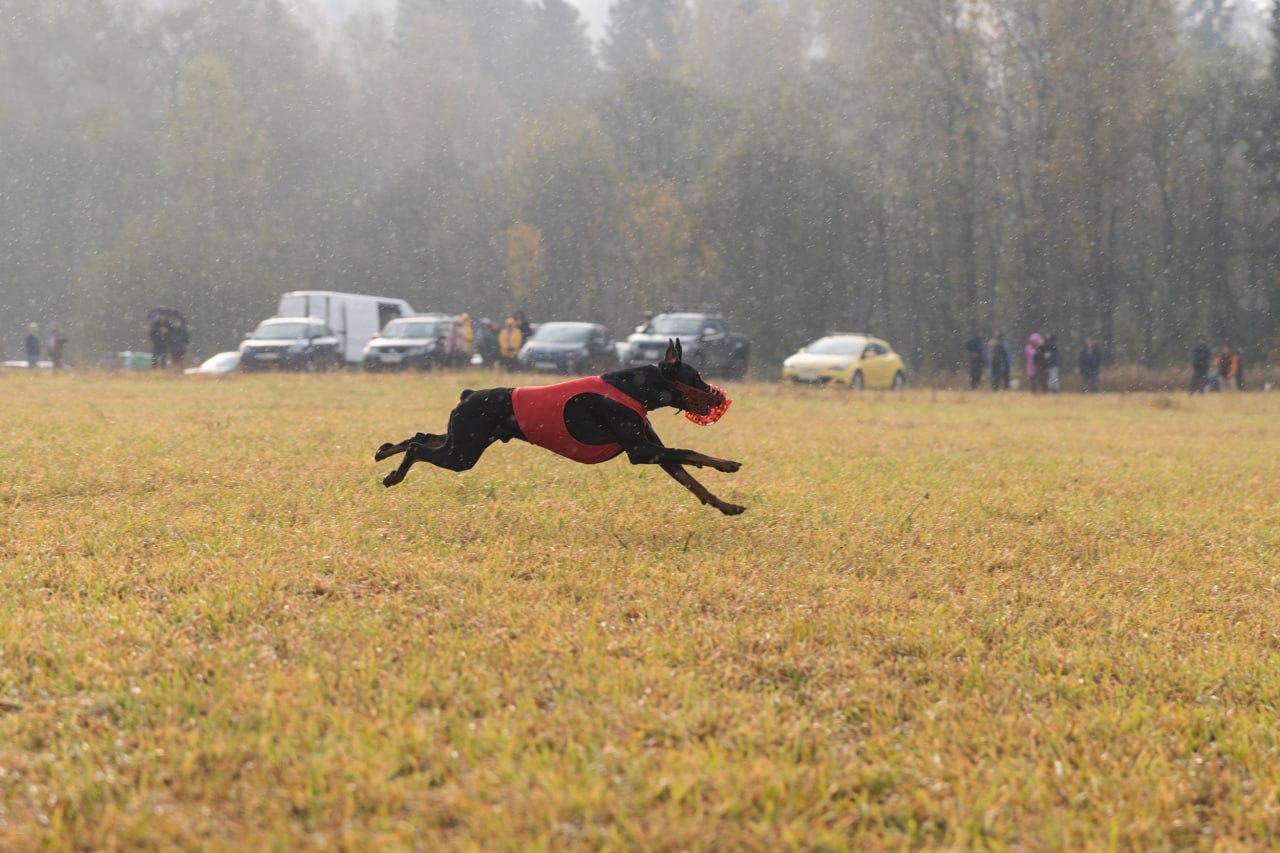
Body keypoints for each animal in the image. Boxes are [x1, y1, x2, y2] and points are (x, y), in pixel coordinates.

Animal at [373, 338, 747, 512]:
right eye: (695, 378)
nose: (719, 398)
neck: (634, 389)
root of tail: (468, 395)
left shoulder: (653, 450)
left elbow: (692, 481)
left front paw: (727, 506)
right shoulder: (641, 451)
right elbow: (689, 451)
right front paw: (728, 464)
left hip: (463, 439)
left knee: (421, 435)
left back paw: (384, 451)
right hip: (463, 452)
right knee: (419, 447)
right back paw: (393, 476)